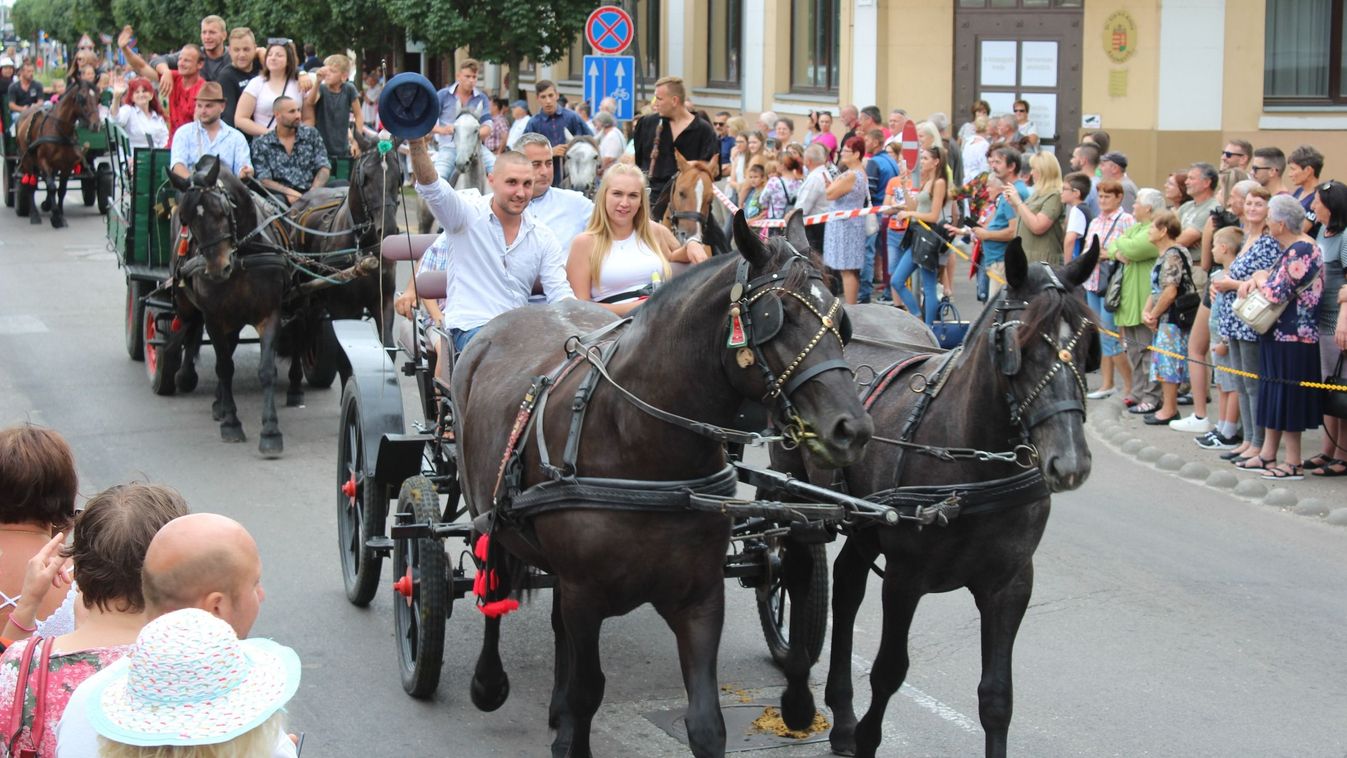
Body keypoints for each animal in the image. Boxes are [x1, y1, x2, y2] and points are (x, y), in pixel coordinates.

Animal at [16, 80, 101, 228]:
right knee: (31, 184)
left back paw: (47, 204)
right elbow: (51, 187)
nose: (96, 125)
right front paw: (56, 217)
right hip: (27, 160)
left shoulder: (66, 165)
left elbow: (61, 190)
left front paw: (60, 214)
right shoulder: (44, 162)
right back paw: (34, 215)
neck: (59, 129)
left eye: (98, 98)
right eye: (81, 98)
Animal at [164, 155, 293, 457]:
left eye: (222, 211)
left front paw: (271, 430)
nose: (217, 268)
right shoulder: (214, 316)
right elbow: (224, 367)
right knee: (188, 329)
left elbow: (266, 370)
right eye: (187, 219)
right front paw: (232, 423)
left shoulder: (269, 313)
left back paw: (218, 402)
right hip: (188, 304)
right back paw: (187, 376)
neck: (242, 255)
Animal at [452, 212, 872, 758]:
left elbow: (706, 724)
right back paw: (488, 682)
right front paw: (567, 726)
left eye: (842, 324)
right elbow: (588, 690)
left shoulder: (698, 596)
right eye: (777, 319)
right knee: (493, 586)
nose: (852, 430)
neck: (641, 447)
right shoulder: (586, 593)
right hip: (489, 515)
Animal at [775, 238, 1099, 758]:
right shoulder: (905, 579)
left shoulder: (1010, 586)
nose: (1069, 462)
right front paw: (867, 739)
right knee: (799, 571)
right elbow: (889, 671)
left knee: (847, 585)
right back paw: (801, 691)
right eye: (1020, 347)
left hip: (866, 523)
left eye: (1089, 344)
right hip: (793, 492)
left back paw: (840, 715)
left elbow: (997, 698)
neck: (973, 463)